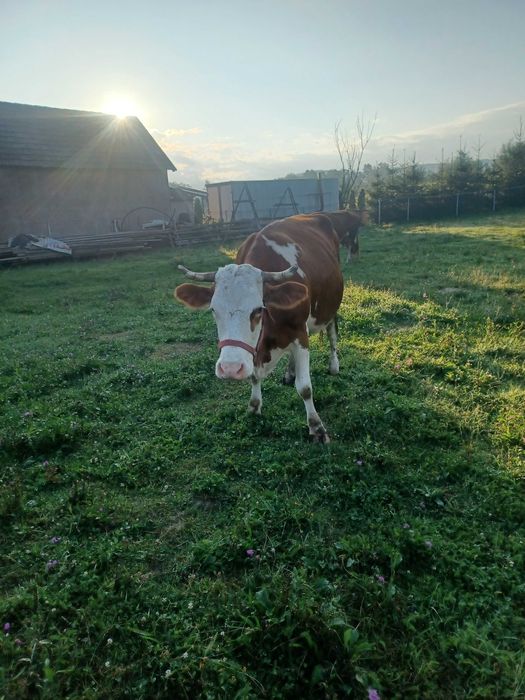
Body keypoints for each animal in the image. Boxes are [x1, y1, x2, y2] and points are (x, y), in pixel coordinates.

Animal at [174, 214, 344, 443]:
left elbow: (305, 387)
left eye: (257, 310)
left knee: (332, 334)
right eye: (213, 310)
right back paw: (289, 373)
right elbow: (254, 376)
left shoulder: (301, 333)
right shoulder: (254, 350)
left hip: (332, 306)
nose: (229, 368)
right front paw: (254, 407)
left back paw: (333, 365)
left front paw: (316, 427)